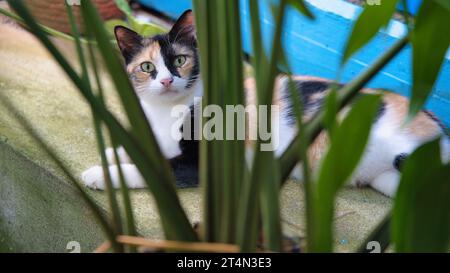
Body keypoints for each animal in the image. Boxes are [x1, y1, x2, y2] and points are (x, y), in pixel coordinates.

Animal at [81, 10, 450, 197]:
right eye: (147, 67)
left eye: (181, 60)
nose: (167, 80)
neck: (166, 113)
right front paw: (115, 151)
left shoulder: (202, 162)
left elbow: (158, 168)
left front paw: (99, 173)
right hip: (392, 181)